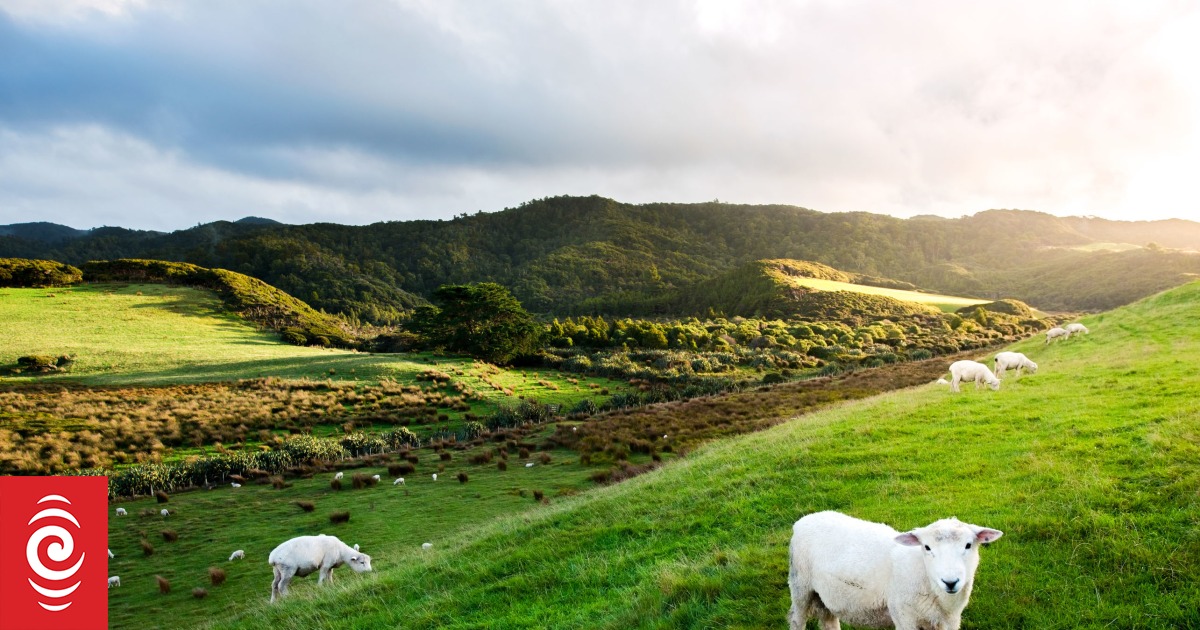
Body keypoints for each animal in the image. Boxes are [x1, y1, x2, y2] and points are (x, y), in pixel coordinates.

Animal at [787, 508, 1003, 628]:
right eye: (927, 547)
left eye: (968, 545)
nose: (950, 582)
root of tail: (805, 519)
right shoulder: (904, 616)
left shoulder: (948, 621)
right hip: (800, 586)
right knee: (797, 620)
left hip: (825, 596)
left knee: (829, 621)